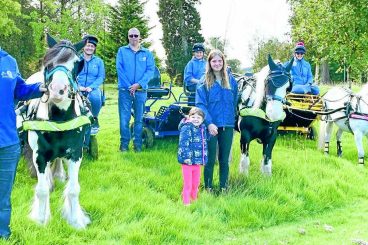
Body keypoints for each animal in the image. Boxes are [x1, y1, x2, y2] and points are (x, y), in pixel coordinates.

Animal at [22, 33, 92, 229]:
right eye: (46, 60)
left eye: (78, 63)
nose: (57, 90)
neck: (59, 119)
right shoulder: (39, 155)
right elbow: (42, 189)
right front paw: (40, 219)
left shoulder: (75, 153)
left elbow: (74, 189)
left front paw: (76, 220)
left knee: (59, 159)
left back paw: (59, 175)